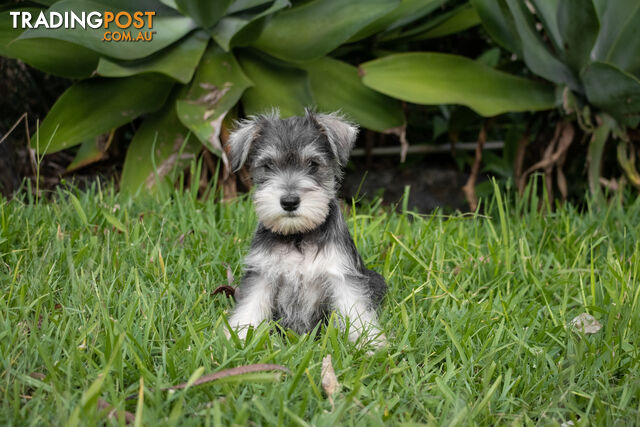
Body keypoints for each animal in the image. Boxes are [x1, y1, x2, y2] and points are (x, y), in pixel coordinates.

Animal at [225, 108, 384, 346]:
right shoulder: (262, 274)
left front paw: (370, 344)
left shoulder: (341, 274)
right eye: (268, 165)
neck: (297, 236)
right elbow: (250, 307)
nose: (289, 201)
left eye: (313, 164)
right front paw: (239, 337)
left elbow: (355, 310)